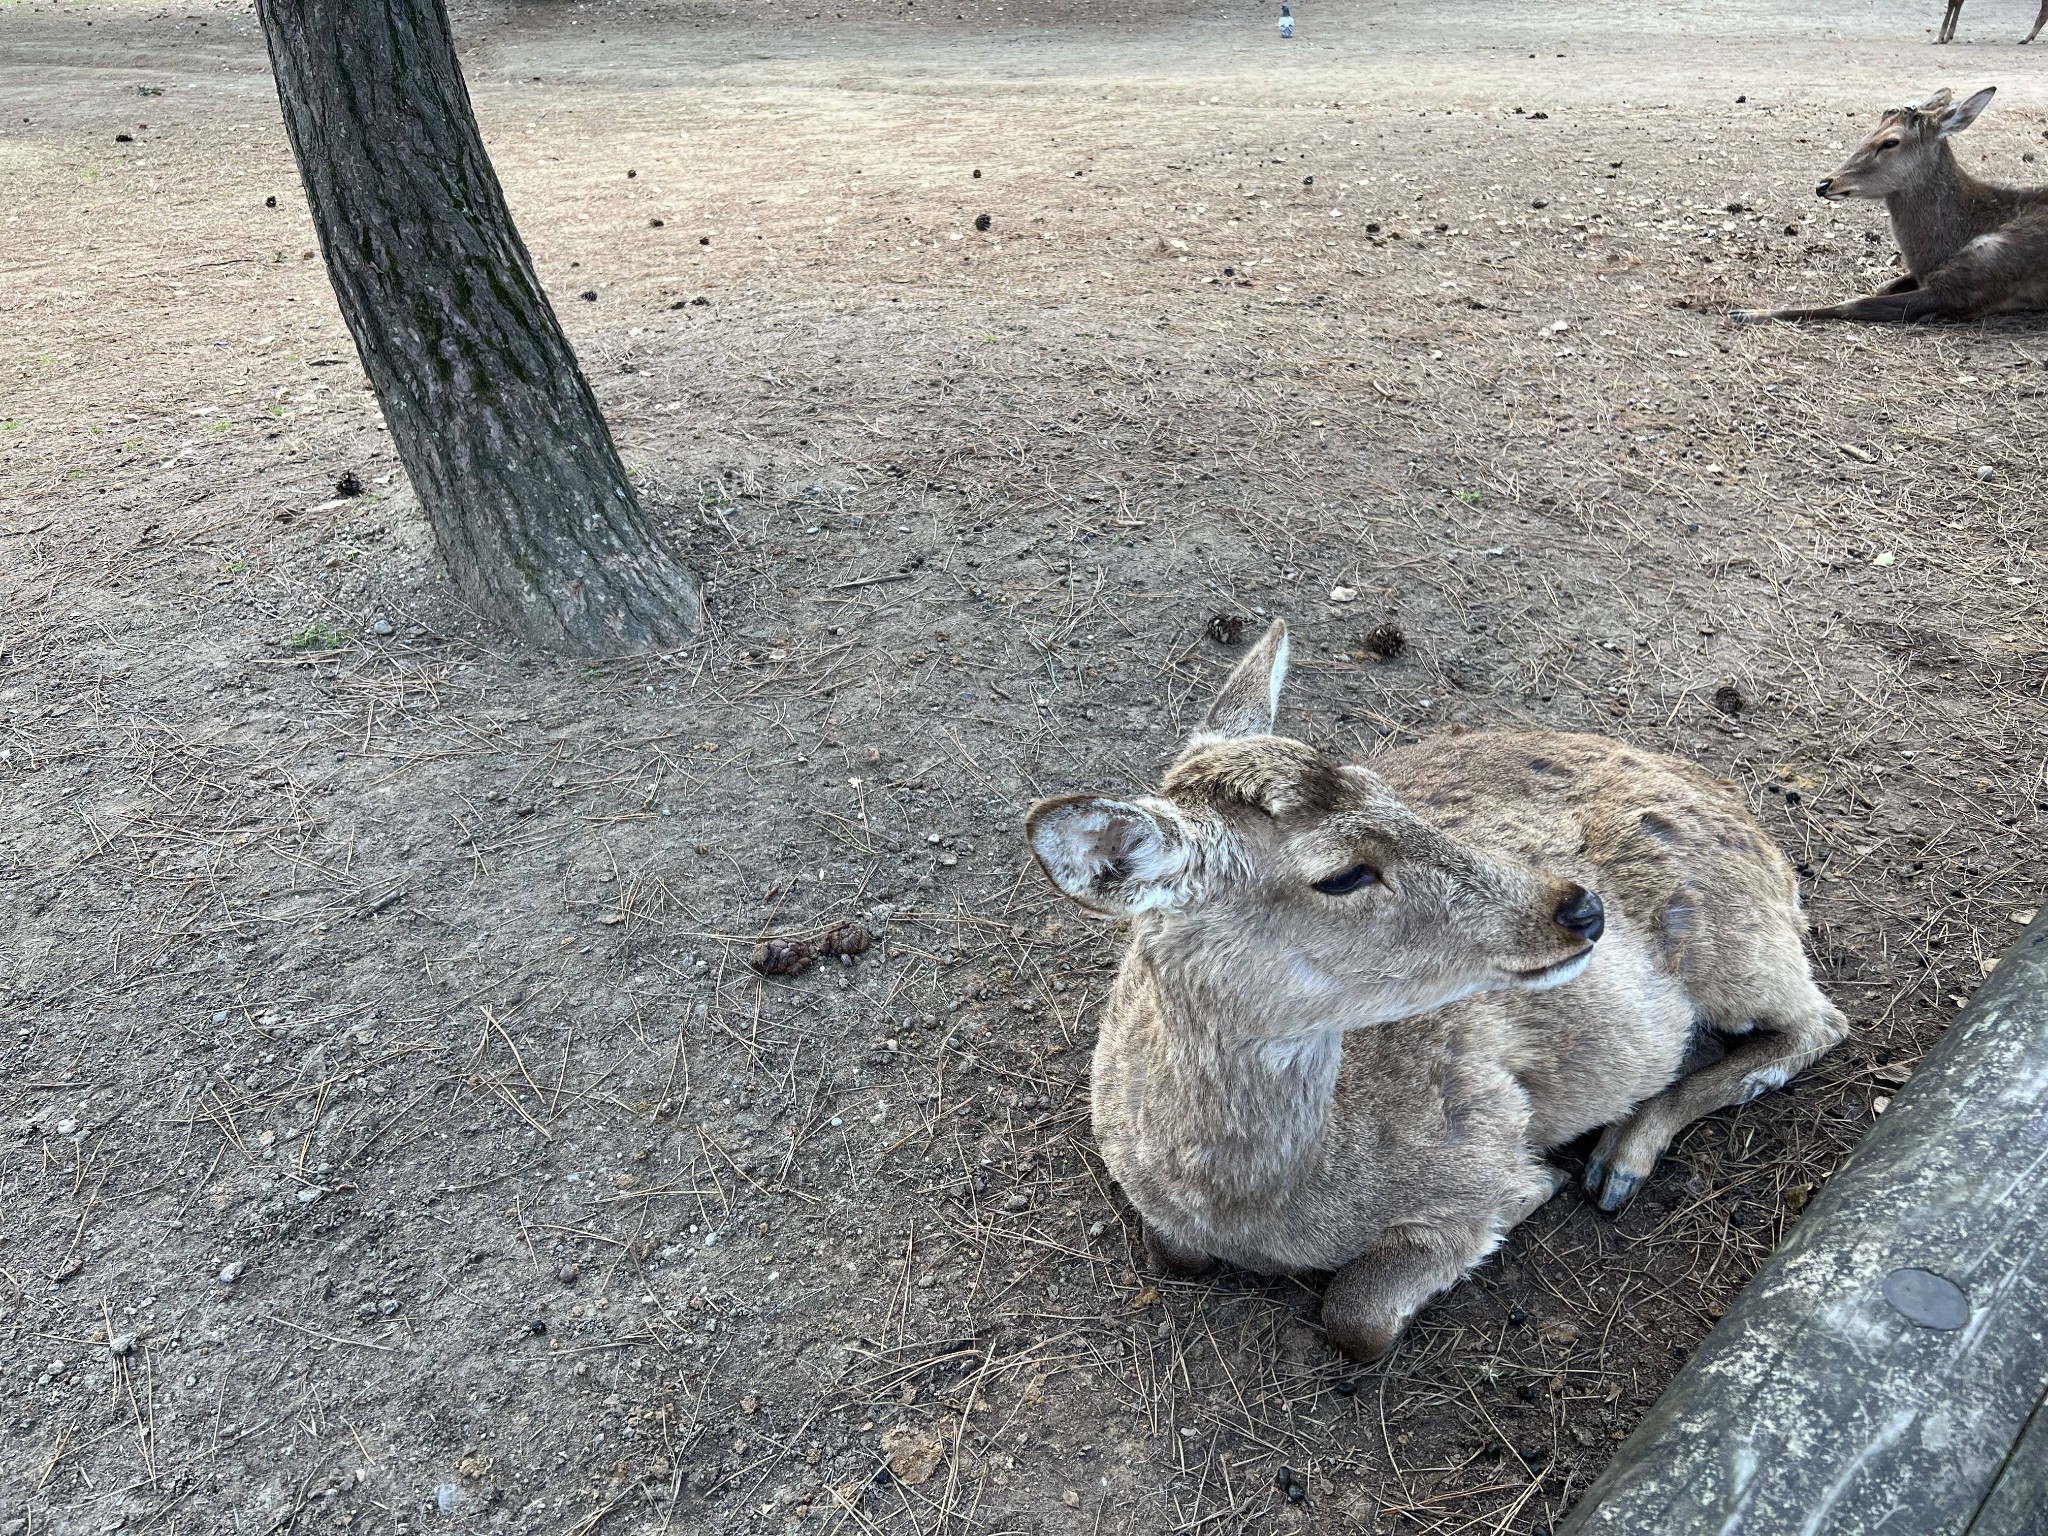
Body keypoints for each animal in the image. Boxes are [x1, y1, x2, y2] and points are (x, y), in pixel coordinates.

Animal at [1032, 618, 1851, 1368]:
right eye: (1342, 874)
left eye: (1384, 787)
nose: (1581, 908)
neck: (1258, 1211)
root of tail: (1766, 845)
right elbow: (1172, 1253)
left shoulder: (1477, 1162)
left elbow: (1357, 1316)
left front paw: (1540, 1185)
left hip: (1733, 937)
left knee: (1821, 1022)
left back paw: (1618, 1160)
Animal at [1728, 86, 2048, 321]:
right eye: (1870, 130)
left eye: (1890, 142)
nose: (1824, 184)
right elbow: (1882, 286)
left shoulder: (1972, 283)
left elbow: (1853, 304)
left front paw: (1747, 312)